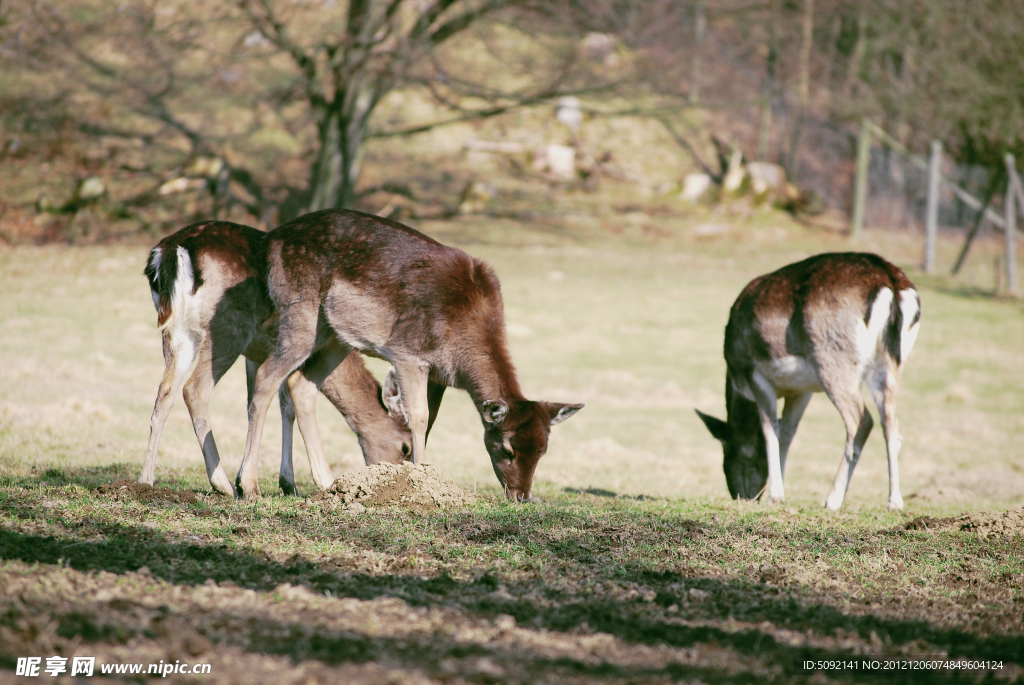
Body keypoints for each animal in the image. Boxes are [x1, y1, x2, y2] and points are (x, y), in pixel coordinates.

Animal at [140, 223, 411, 497]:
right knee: (196, 389)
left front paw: (271, 479)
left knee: (165, 391)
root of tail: (170, 251)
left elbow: (259, 401)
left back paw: (146, 479)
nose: (397, 479)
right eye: (405, 447)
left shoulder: (254, 355)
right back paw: (223, 484)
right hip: (228, 328)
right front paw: (285, 483)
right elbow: (287, 405)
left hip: (177, 333)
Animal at [233, 205, 585, 499]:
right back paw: (247, 486)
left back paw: (327, 483)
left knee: (301, 385)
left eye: (543, 450)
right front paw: (419, 482)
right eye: (506, 448)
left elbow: (429, 422)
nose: (521, 496)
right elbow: (418, 415)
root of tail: (270, 240)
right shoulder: (407, 353)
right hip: (300, 315)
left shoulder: (439, 374)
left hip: (335, 337)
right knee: (265, 378)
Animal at [696, 250, 921, 507]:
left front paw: (775, 494)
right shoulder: (802, 390)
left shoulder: (755, 373)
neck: (737, 379)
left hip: (833, 360)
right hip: (889, 366)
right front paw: (780, 492)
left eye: (727, 456)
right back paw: (894, 501)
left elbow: (770, 429)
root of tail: (891, 283)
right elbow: (788, 433)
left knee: (862, 420)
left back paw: (833, 499)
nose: (742, 496)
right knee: (890, 422)